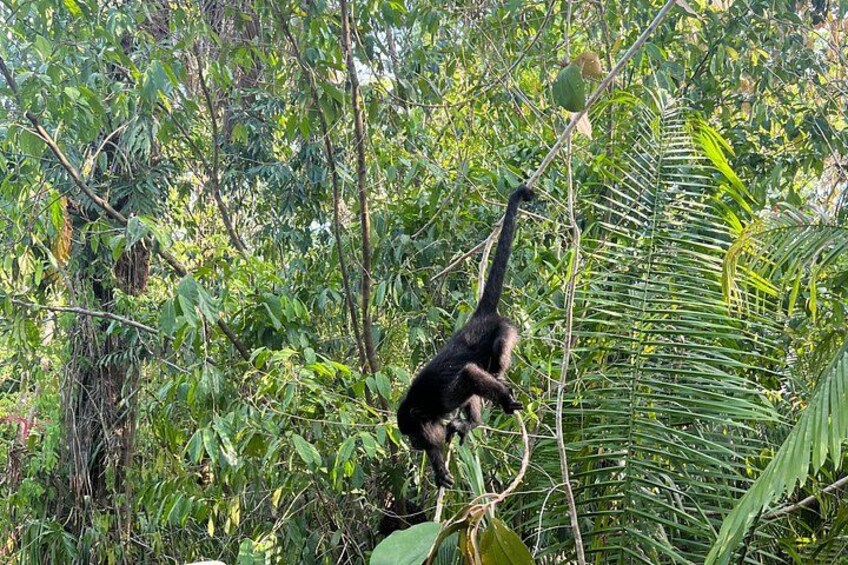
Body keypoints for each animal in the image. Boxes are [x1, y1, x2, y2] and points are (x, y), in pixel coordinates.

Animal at [397, 185, 534, 488]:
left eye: (413, 434)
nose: (414, 445)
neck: (424, 408)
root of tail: (480, 317)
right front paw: (440, 470)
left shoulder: (441, 398)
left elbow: (469, 374)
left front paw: (503, 398)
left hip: (506, 328)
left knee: (497, 354)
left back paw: (498, 378)